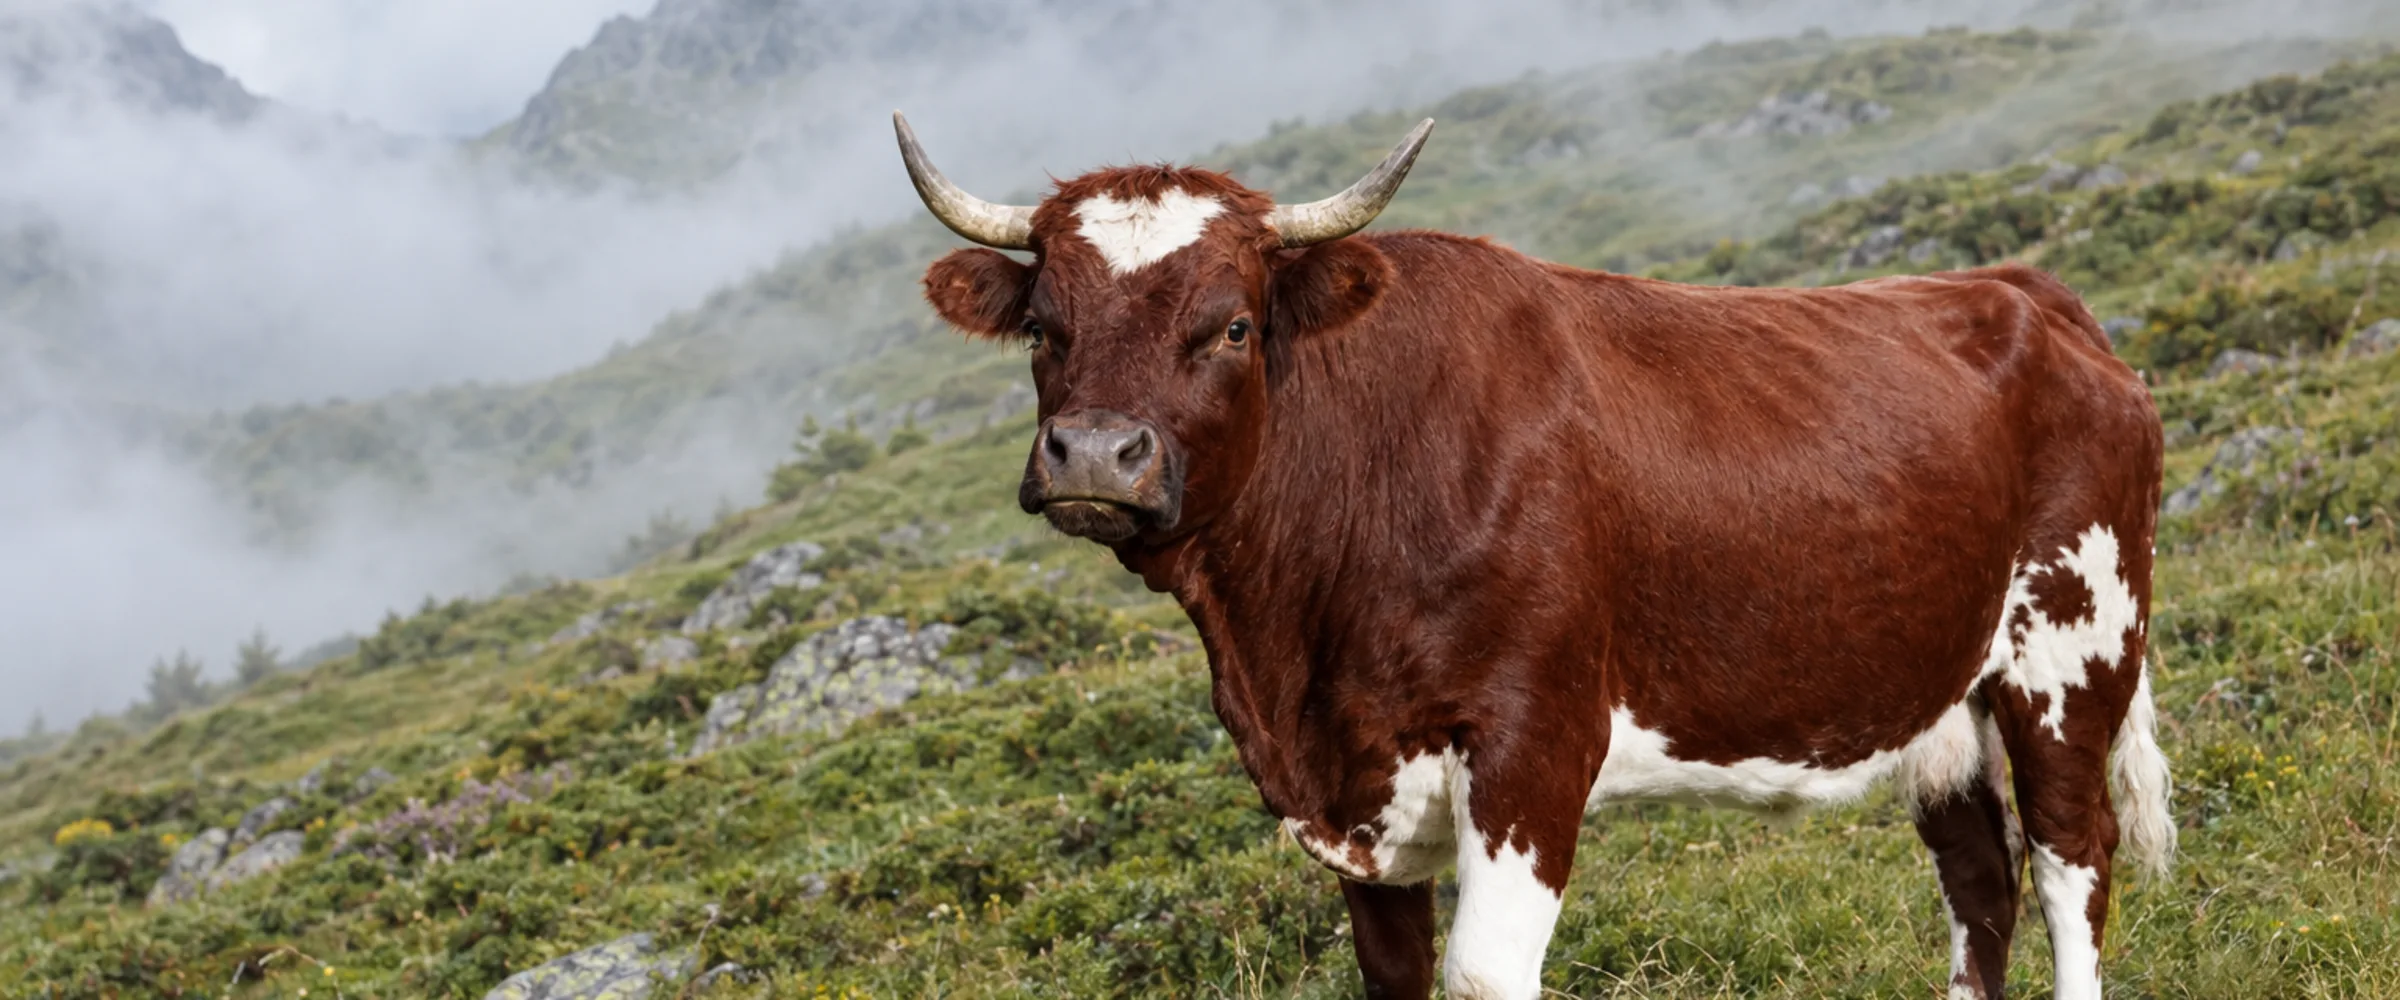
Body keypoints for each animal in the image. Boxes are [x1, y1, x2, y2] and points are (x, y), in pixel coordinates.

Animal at [893, 113, 2173, 1000]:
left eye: (1234, 325)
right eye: (1044, 329)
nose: (1095, 455)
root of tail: (2028, 291)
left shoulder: (1532, 744)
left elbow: (1482, 973)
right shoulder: (1358, 795)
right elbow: (1397, 975)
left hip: (2071, 648)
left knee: (2070, 857)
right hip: (1932, 692)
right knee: (1979, 875)